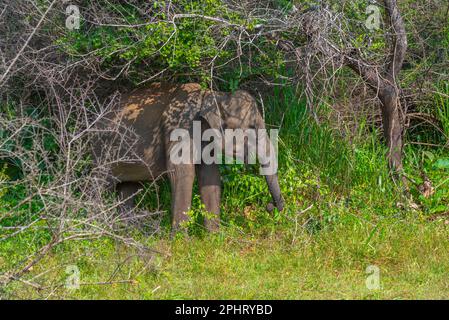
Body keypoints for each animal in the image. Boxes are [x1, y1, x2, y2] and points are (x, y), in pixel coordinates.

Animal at [93, 82, 284, 232]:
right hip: (102, 150)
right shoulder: (179, 128)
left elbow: (209, 175)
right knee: (99, 183)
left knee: (128, 188)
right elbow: (182, 174)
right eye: (252, 127)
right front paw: (181, 242)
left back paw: (126, 231)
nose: (270, 206)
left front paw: (214, 237)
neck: (211, 95)